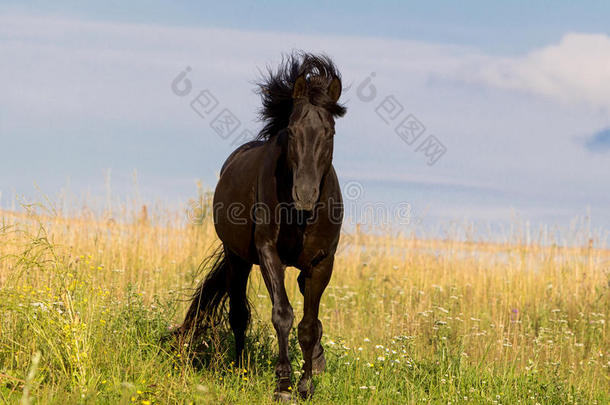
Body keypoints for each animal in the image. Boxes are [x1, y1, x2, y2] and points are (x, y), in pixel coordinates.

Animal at [178, 52, 344, 400]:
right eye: (292, 131)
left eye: (330, 132)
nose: (304, 195)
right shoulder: (269, 254)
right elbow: (282, 315)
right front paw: (283, 385)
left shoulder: (322, 262)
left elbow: (310, 325)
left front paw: (307, 384)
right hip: (237, 259)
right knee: (238, 314)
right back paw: (240, 368)